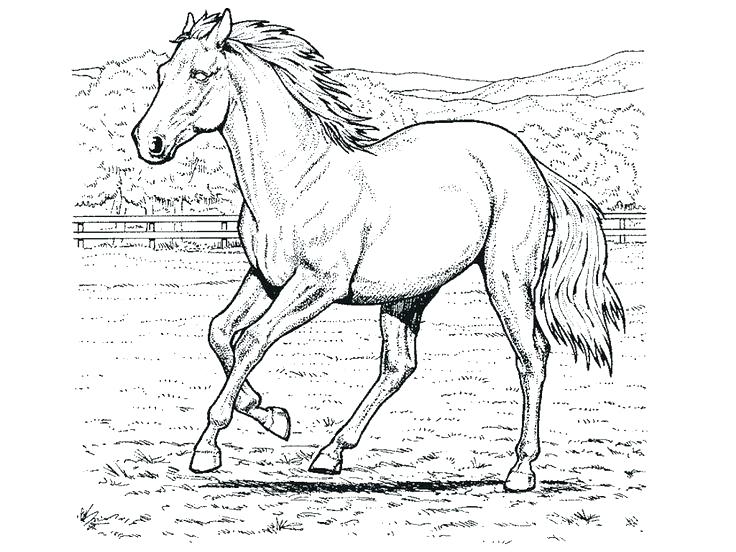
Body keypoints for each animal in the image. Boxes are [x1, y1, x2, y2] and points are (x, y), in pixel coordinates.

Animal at [132, 10, 623, 492]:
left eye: (200, 73)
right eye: (162, 72)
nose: (147, 142)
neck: (298, 182)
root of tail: (530, 161)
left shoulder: (317, 287)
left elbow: (251, 340)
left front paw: (208, 449)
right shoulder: (265, 279)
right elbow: (219, 332)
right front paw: (271, 415)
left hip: (507, 278)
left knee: (531, 356)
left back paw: (520, 470)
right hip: (408, 295)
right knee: (399, 365)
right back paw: (330, 454)